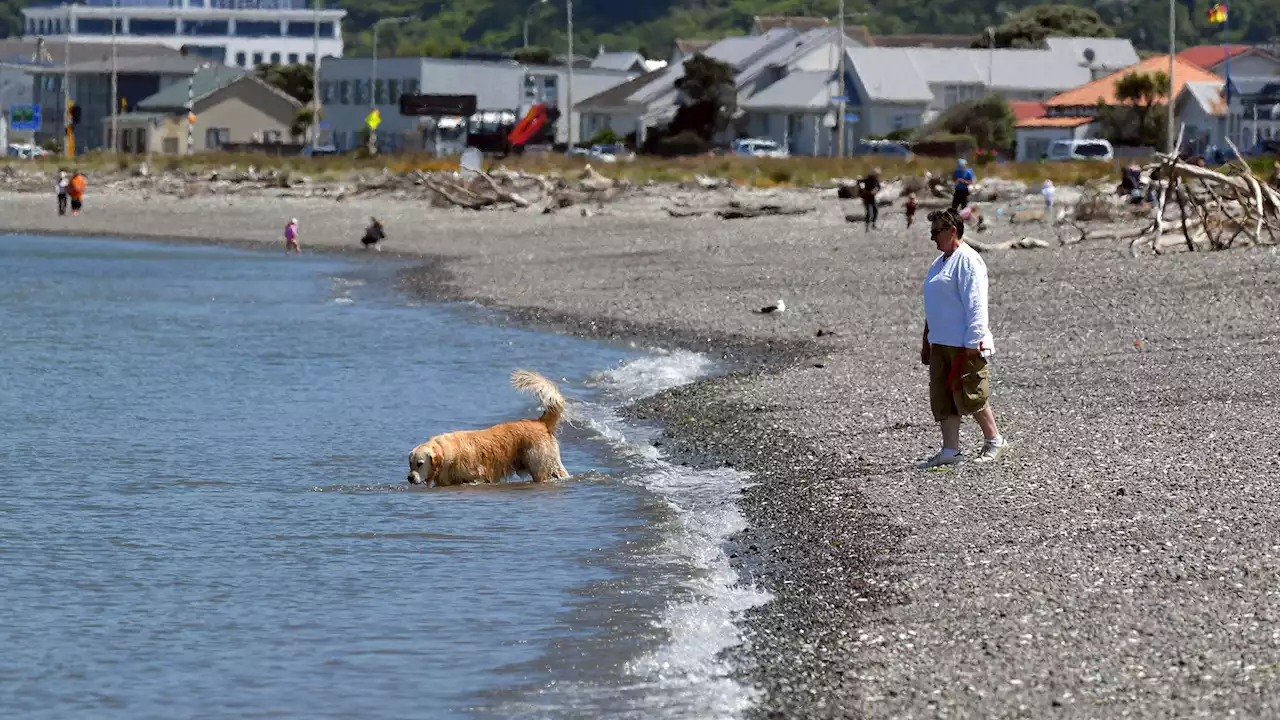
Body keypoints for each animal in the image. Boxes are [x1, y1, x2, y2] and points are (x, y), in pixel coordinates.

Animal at [407, 366, 568, 484]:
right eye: (410, 463)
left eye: (420, 463)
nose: (409, 478)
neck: (446, 452)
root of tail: (540, 422)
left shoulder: (478, 477)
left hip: (540, 466)